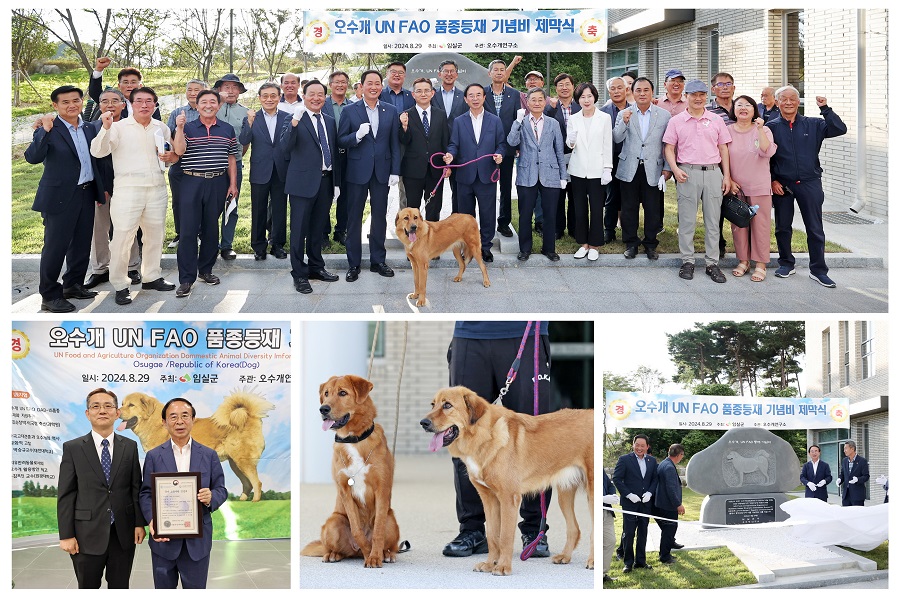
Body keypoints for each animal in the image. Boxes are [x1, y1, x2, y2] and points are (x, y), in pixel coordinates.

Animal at [119, 390, 274, 502]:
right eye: (122, 403)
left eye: (131, 405)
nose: (118, 411)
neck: (153, 422)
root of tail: (248, 414)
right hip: (235, 463)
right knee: (247, 484)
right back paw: (242, 501)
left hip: (242, 460)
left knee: (257, 482)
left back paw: (255, 501)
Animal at [300, 376, 400, 568]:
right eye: (326, 393)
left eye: (342, 393)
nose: (323, 409)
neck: (353, 439)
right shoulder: (345, 491)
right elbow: (357, 530)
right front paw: (369, 555)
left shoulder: (382, 490)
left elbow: (378, 531)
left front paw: (375, 556)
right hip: (333, 522)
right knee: (341, 549)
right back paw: (334, 554)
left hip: (391, 519)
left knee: (393, 544)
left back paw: (387, 554)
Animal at [420, 390, 596, 576]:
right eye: (433, 405)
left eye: (447, 405)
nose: (423, 423)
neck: (484, 436)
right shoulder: (489, 500)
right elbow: (492, 536)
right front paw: (490, 564)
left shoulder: (509, 499)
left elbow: (504, 537)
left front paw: (503, 566)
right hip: (564, 493)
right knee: (574, 529)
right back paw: (565, 556)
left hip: (592, 494)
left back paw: (592, 561)